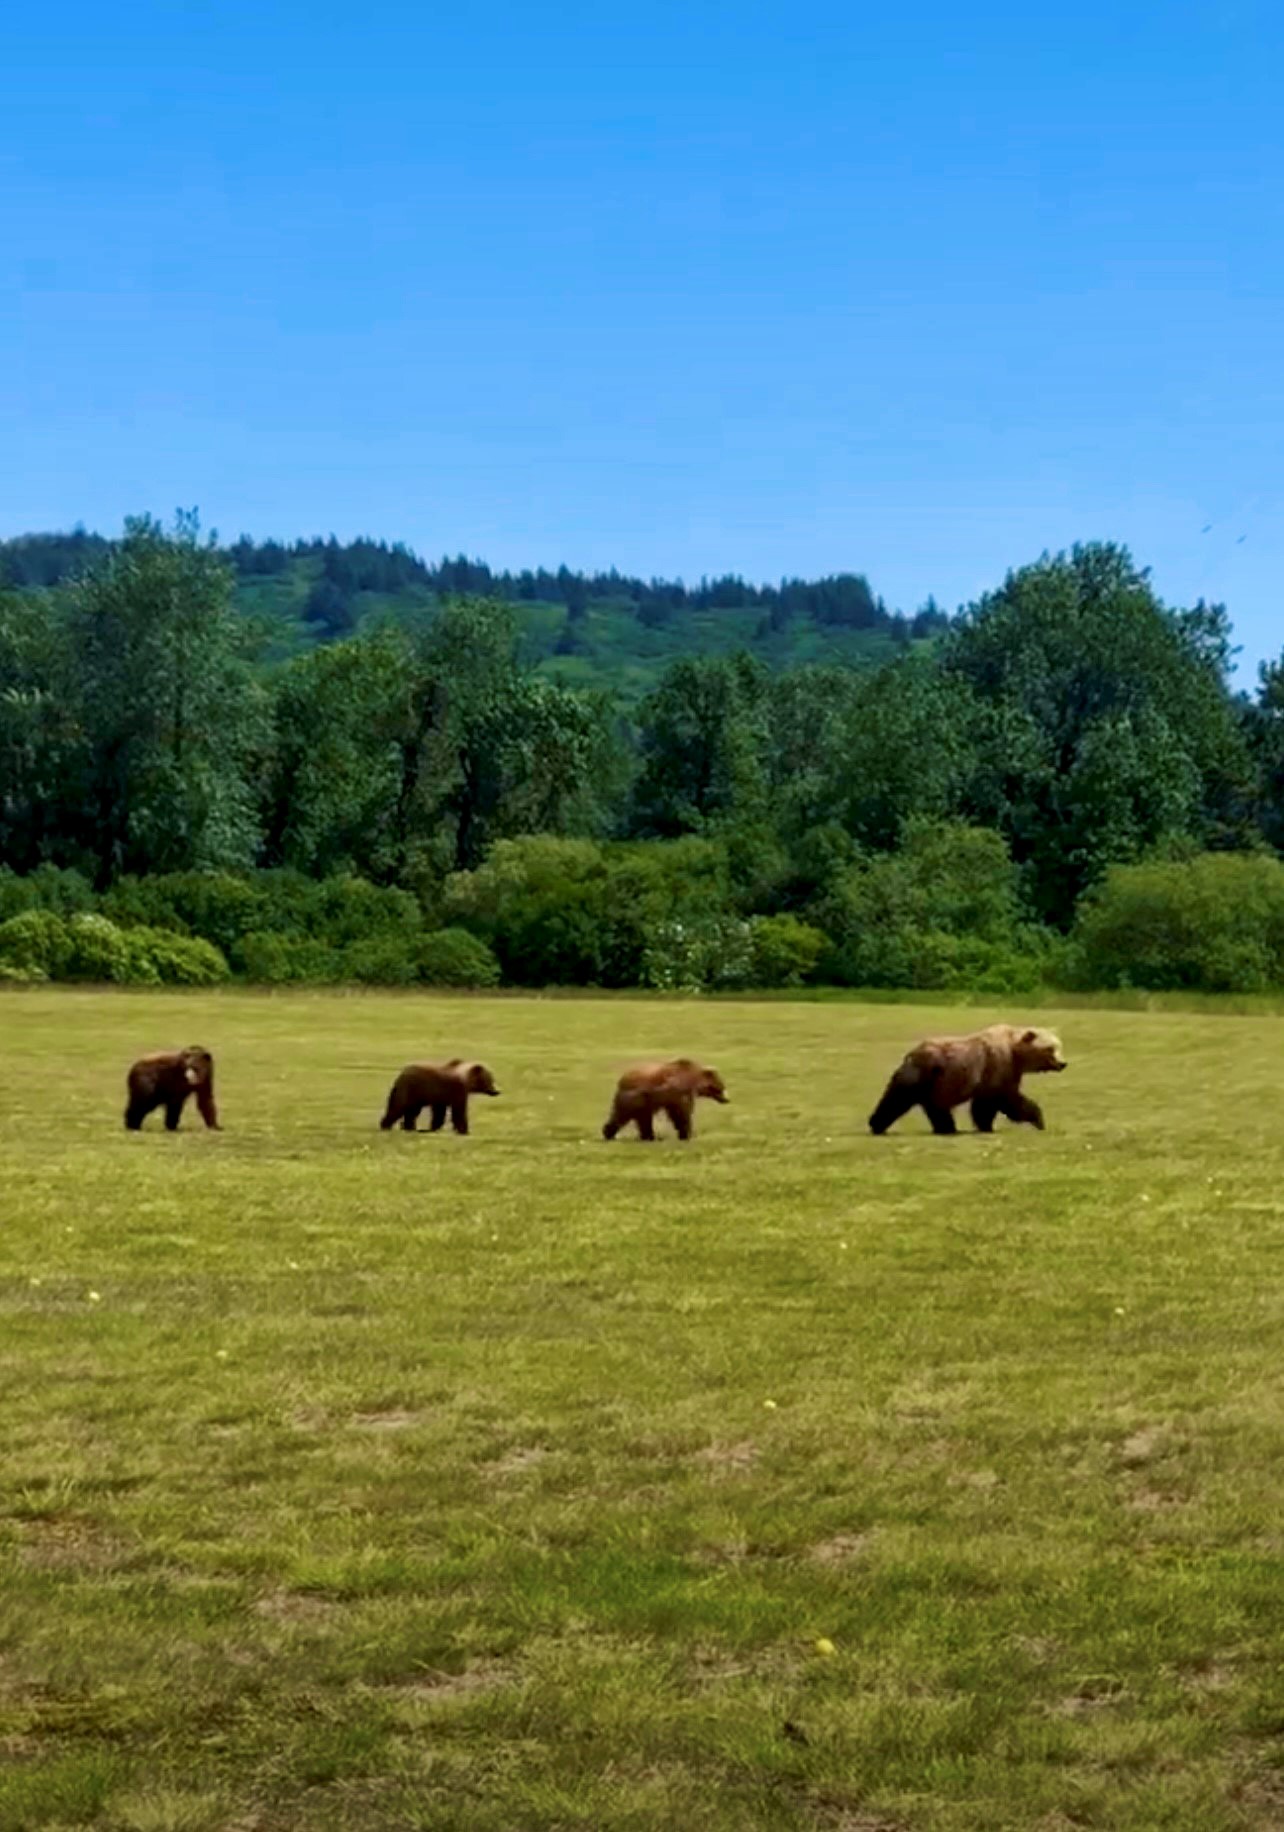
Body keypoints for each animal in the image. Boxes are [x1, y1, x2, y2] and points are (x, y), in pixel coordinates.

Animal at [868, 1025, 1069, 1135]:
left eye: (1059, 1046)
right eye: (1050, 1048)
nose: (1063, 1063)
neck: (1016, 1053)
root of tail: (911, 1054)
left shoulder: (1008, 1071)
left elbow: (1006, 1100)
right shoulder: (997, 1066)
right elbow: (999, 1101)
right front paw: (1037, 1119)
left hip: (936, 1085)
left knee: (935, 1107)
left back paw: (946, 1128)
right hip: (924, 1075)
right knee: (897, 1098)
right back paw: (876, 1125)